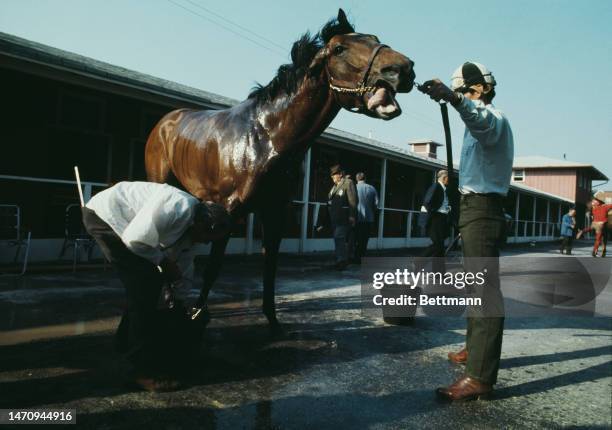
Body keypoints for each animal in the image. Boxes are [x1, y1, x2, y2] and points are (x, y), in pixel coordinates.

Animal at [143, 8, 416, 334]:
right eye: (340, 48)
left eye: (374, 38)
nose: (403, 68)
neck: (266, 138)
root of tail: (164, 123)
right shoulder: (228, 212)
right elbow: (213, 266)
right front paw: (197, 314)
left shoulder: (274, 211)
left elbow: (270, 268)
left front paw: (273, 322)